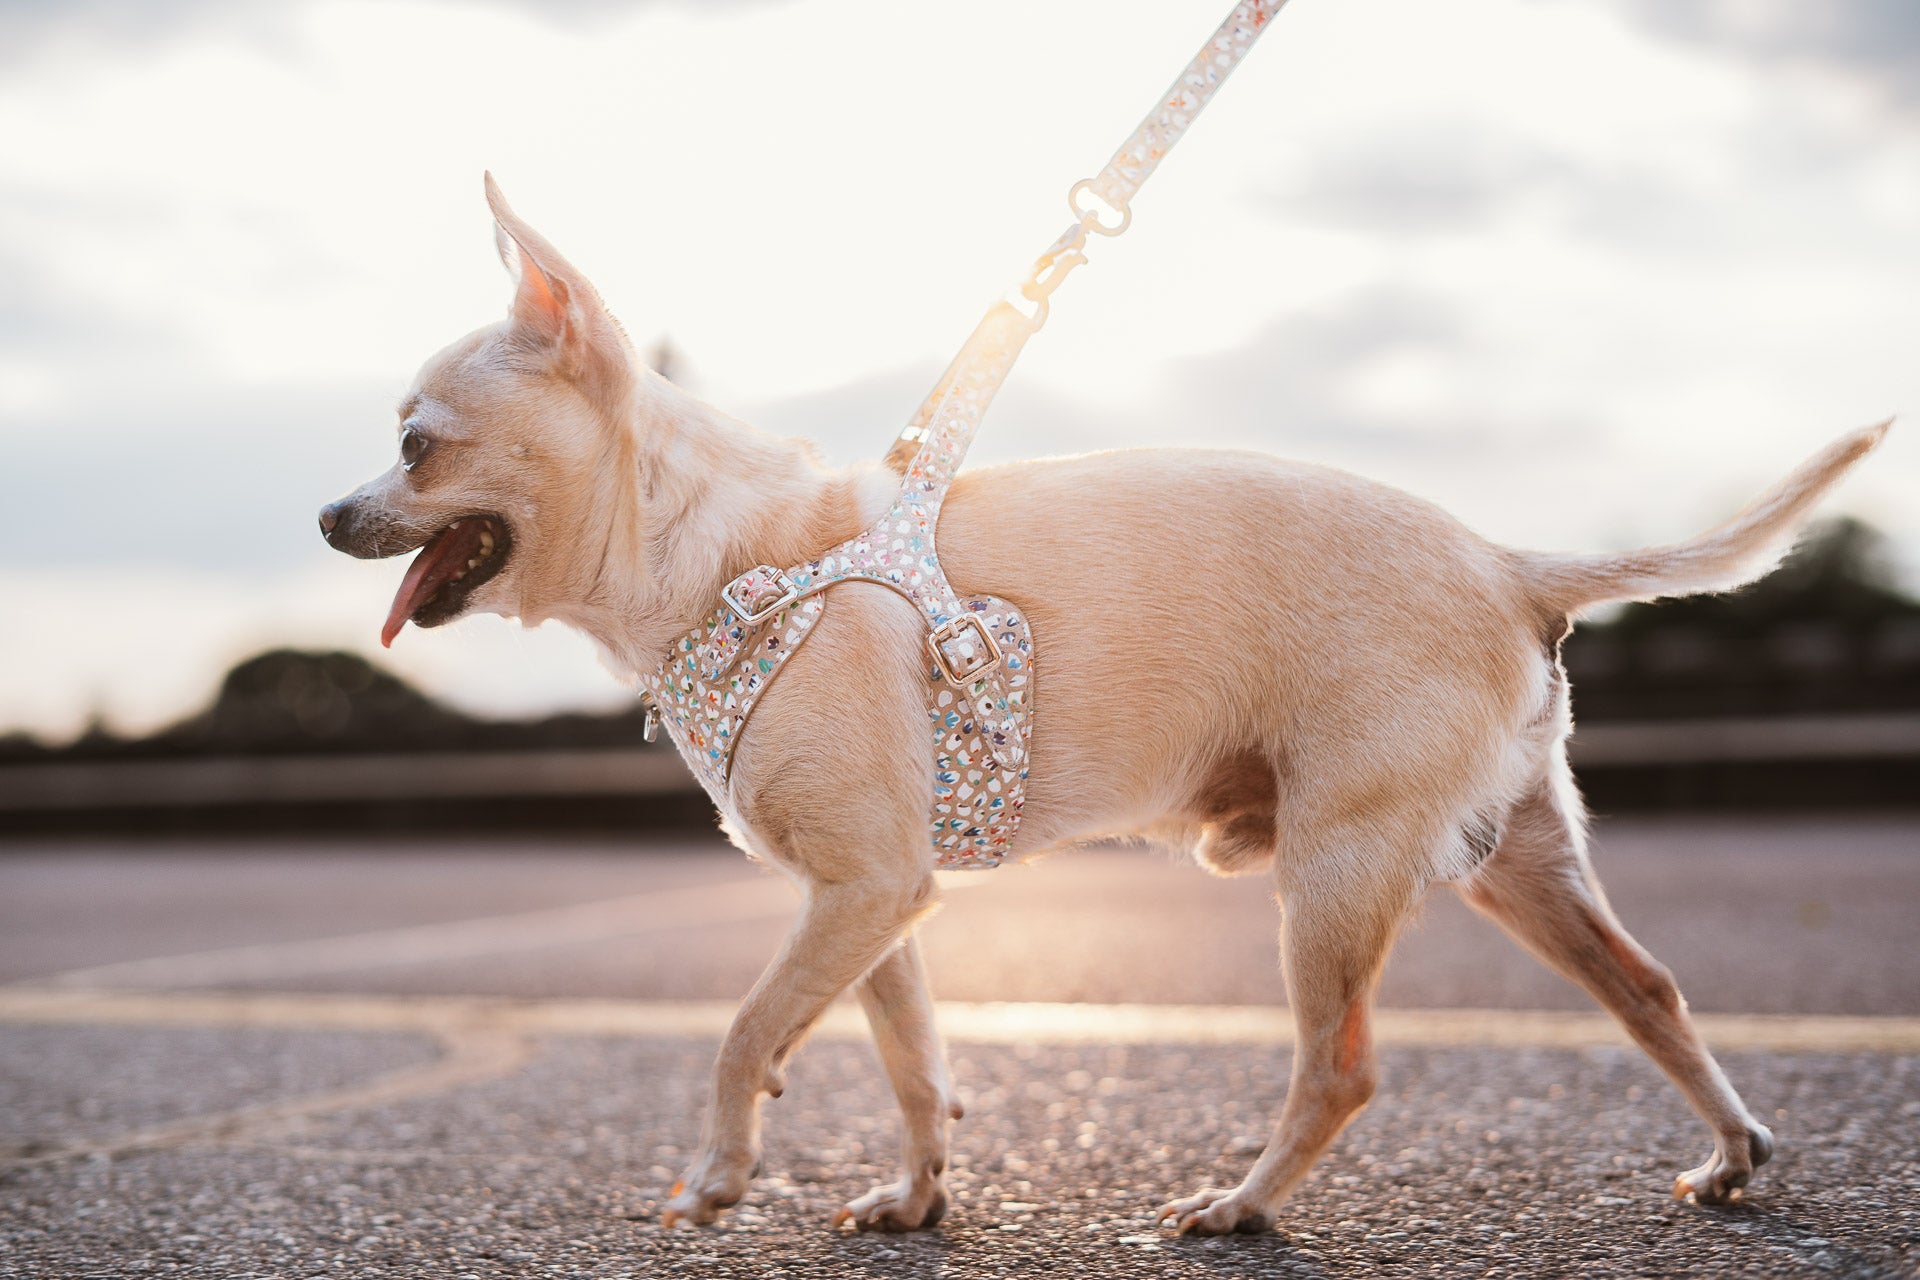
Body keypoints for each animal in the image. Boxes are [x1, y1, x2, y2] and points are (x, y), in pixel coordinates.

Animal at [322, 175, 1881, 1235]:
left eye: (417, 444)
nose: (330, 513)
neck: (729, 554)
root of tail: (1507, 559)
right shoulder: (874, 898)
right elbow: (910, 1056)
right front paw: (917, 1193)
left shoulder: (859, 887)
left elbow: (747, 1027)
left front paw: (718, 1172)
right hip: (1517, 858)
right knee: (1650, 987)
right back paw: (1733, 1153)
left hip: (1336, 867)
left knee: (1343, 1067)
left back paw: (1242, 1204)